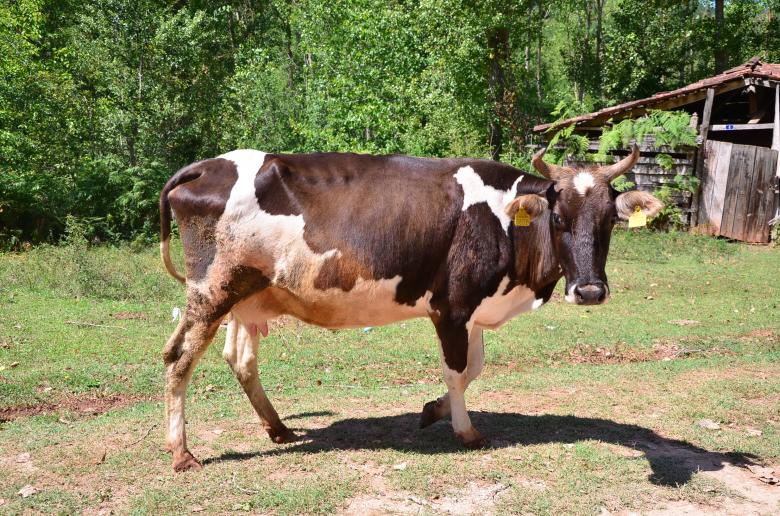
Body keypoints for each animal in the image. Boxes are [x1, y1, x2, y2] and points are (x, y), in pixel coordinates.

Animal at [158, 146, 662, 471]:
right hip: (212, 290)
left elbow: (475, 367)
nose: (590, 291)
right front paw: (465, 431)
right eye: (558, 218)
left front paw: (433, 410)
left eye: (610, 221)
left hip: (248, 295)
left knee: (240, 358)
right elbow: (457, 371)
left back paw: (278, 428)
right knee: (179, 358)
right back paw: (182, 452)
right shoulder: (452, 307)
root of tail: (207, 166)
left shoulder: (472, 308)